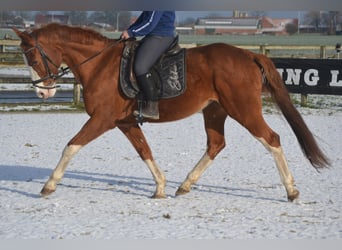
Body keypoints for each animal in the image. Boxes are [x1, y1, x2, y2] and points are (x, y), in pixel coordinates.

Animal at [12, 23, 328, 201]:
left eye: (32, 57)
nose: (42, 93)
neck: (100, 64)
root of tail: (249, 54)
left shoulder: (102, 119)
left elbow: (71, 146)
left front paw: (49, 185)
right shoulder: (125, 122)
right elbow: (145, 151)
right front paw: (161, 187)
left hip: (244, 110)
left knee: (272, 139)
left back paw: (291, 190)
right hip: (215, 111)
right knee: (216, 144)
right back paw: (185, 185)